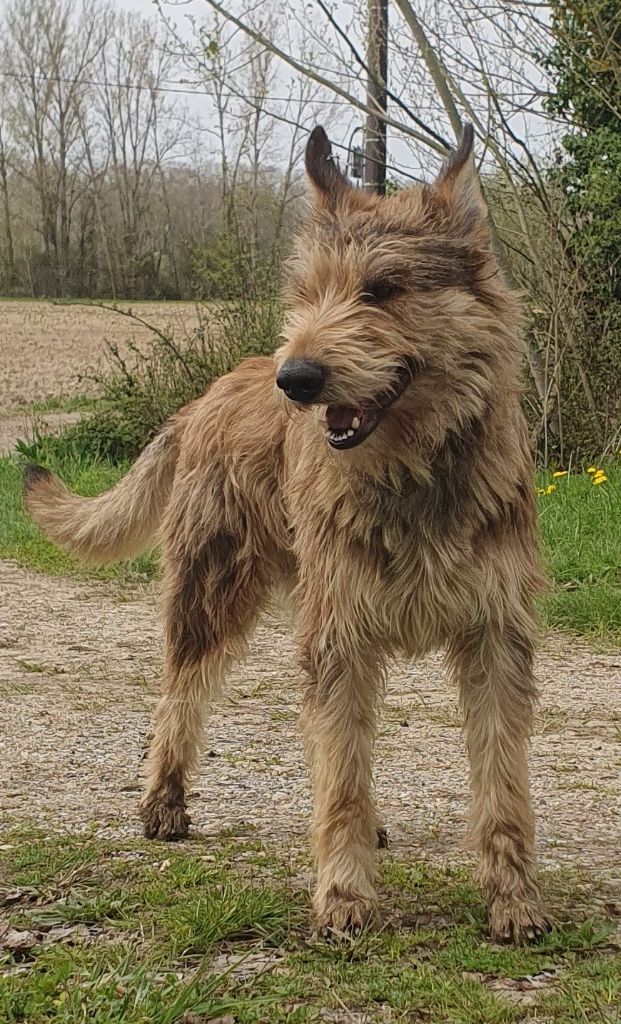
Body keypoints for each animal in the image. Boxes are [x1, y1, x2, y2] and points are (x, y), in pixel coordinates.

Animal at [24, 125, 553, 942]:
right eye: (307, 294)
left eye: (381, 289)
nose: (296, 378)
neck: (412, 473)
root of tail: (210, 392)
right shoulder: (337, 633)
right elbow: (338, 777)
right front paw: (343, 895)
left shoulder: (495, 636)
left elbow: (500, 783)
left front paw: (512, 897)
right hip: (210, 591)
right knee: (179, 698)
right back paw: (163, 800)